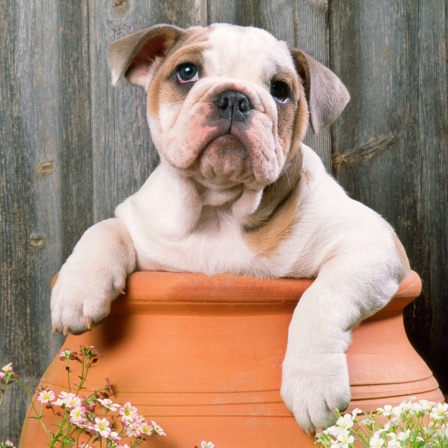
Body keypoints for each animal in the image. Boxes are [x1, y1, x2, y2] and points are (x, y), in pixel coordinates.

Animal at [50, 22, 412, 432]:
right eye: (186, 72)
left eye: (280, 91)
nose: (234, 98)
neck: (219, 208)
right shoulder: (142, 226)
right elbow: (103, 229)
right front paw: (77, 292)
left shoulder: (372, 243)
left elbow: (321, 298)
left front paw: (312, 383)